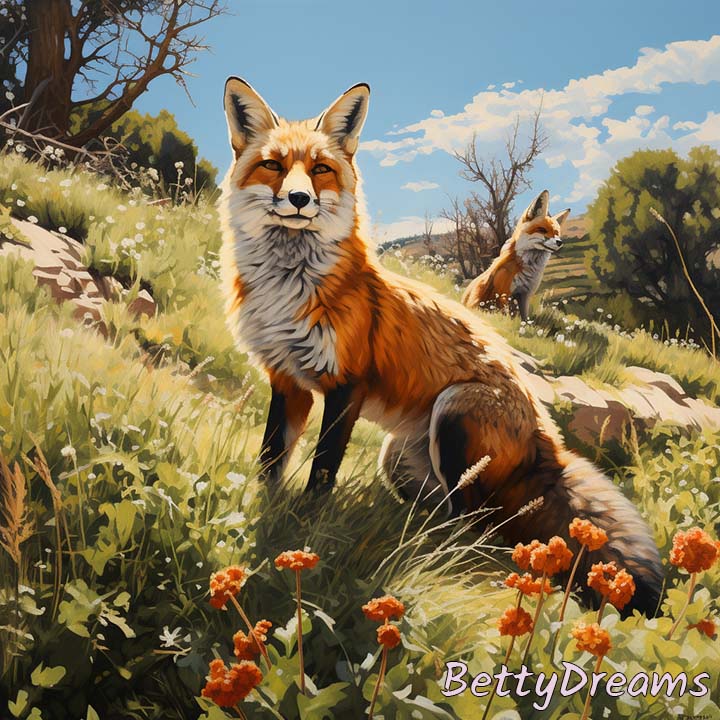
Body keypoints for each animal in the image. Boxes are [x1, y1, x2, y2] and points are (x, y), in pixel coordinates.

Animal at [462, 192, 569, 320]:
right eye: (542, 230)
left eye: (557, 233)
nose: (559, 242)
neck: (528, 267)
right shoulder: (504, 294)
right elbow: (507, 316)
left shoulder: (525, 295)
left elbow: (524, 318)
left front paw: (525, 325)